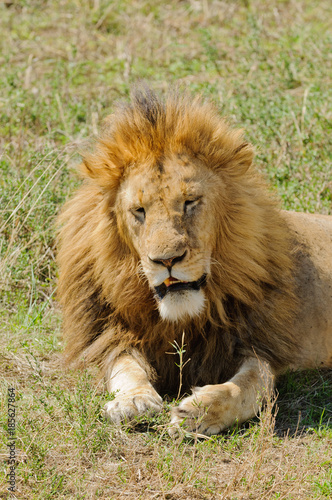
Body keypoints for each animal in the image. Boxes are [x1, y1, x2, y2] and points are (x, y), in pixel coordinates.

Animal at [57, 87, 332, 438]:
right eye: (139, 210)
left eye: (190, 202)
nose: (167, 259)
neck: (183, 320)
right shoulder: (111, 333)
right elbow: (125, 366)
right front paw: (134, 401)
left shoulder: (257, 345)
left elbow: (250, 387)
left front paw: (198, 412)